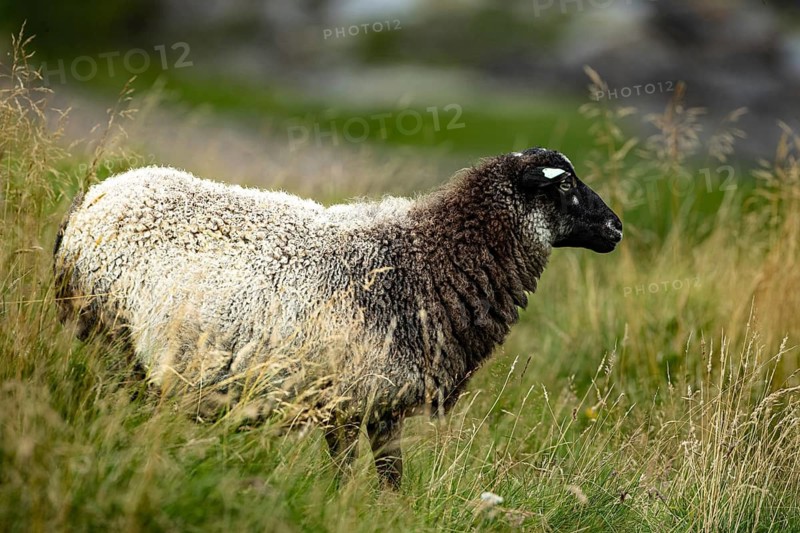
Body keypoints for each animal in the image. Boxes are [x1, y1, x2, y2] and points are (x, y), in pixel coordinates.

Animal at [53, 147, 623, 488]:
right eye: (565, 184)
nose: (616, 227)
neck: (422, 262)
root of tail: (93, 199)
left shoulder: (380, 404)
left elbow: (391, 480)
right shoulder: (346, 399)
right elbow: (353, 477)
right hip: (114, 337)